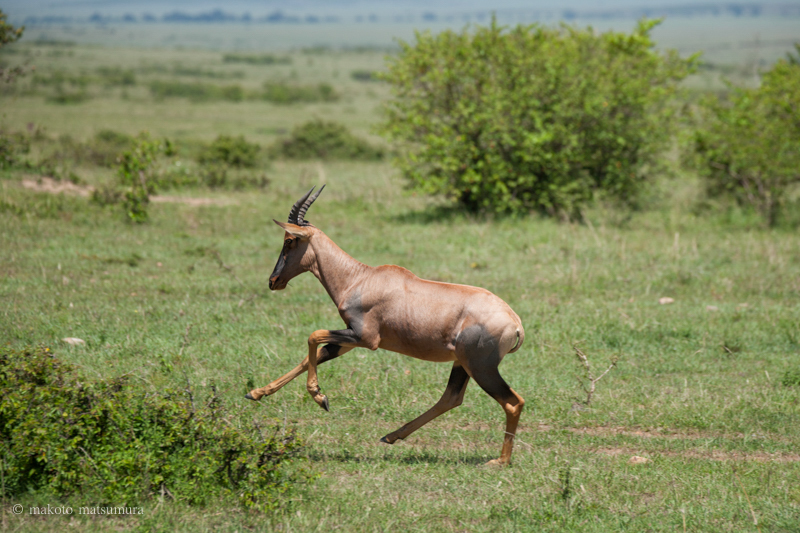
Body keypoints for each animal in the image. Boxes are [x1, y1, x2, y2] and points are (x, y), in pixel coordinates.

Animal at [247, 187, 528, 466]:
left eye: (289, 240)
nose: (273, 281)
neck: (360, 278)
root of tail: (515, 322)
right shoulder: (350, 339)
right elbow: (312, 356)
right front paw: (256, 392)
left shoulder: (365, 339)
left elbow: (313, 336)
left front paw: (320, 398)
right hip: (462, 363)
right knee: (451, 397)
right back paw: (392, 436)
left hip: (481, 367)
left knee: (512, 402)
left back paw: (500, 461)